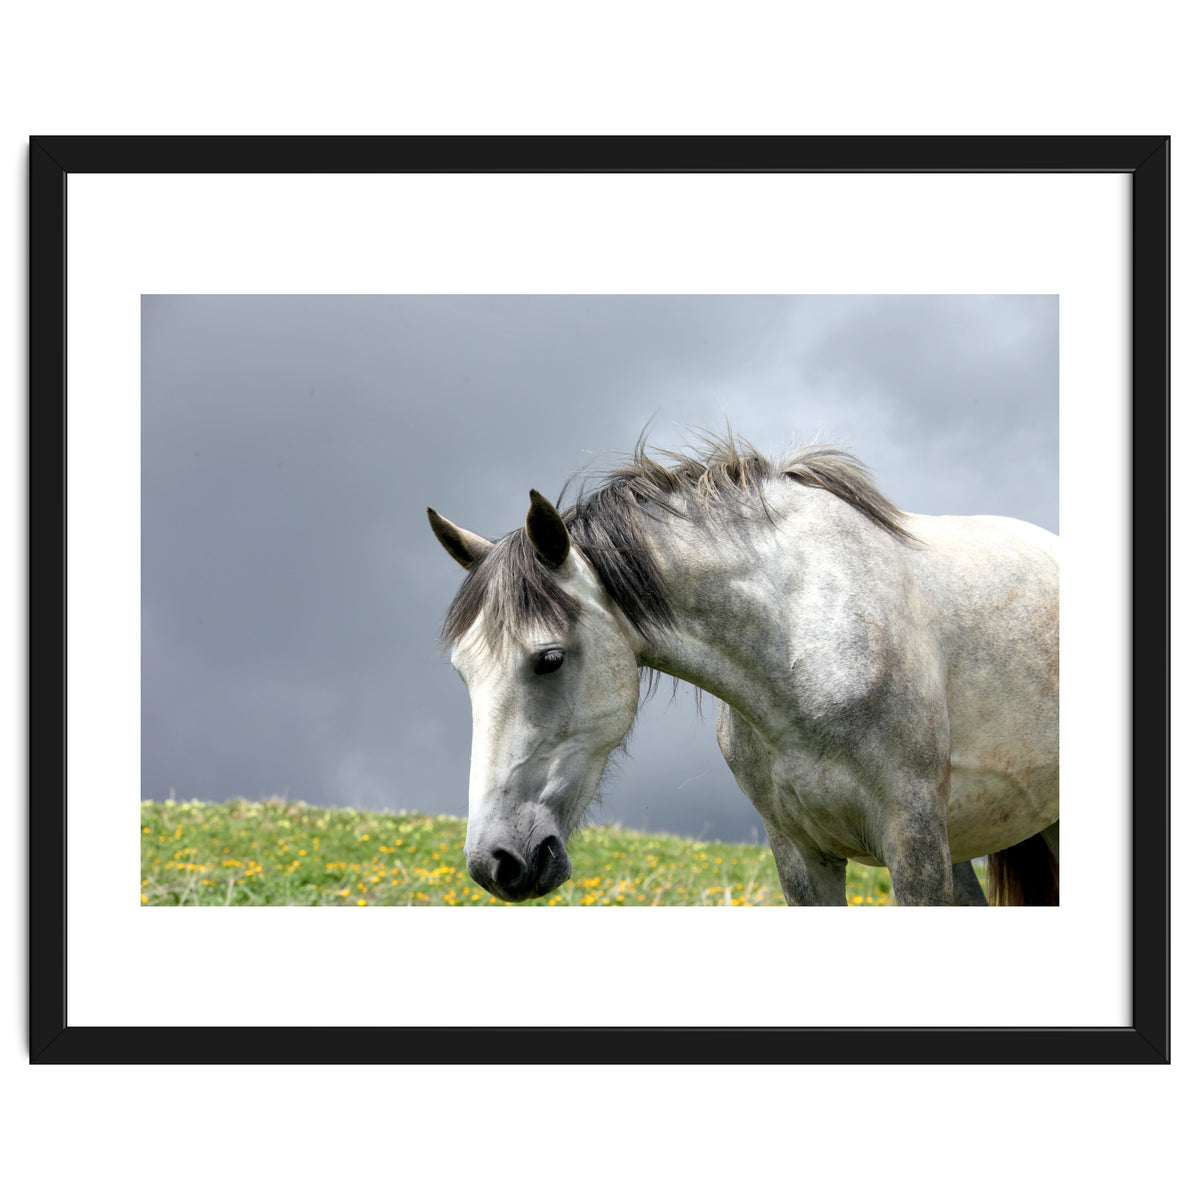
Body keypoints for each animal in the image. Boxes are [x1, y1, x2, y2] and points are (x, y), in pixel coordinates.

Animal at [427, 431, 1059, 906]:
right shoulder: (801, 856)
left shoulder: (914, 843)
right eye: (462, 674)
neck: (804, 644)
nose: (495, 862)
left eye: (549, 659)